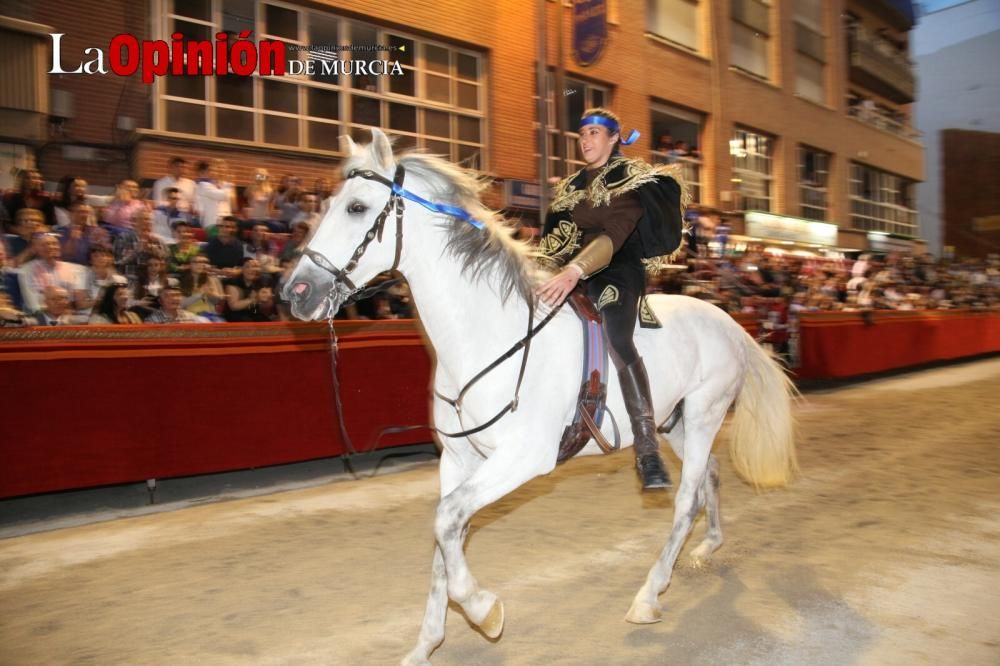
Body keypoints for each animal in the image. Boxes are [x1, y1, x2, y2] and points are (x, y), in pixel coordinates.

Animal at [284, 127, 796, 660]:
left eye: (357, 207)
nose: (296, 292)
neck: (488, 333)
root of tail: (732, 324)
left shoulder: (523, 458)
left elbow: (446, 523)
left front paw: (484, 611)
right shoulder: (460, 460)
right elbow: (446, 538)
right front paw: (426, 643)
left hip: (702, 417)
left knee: (684, 500)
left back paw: (649, 594)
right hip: (673, 424)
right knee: (707, 477)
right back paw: (707, 546)